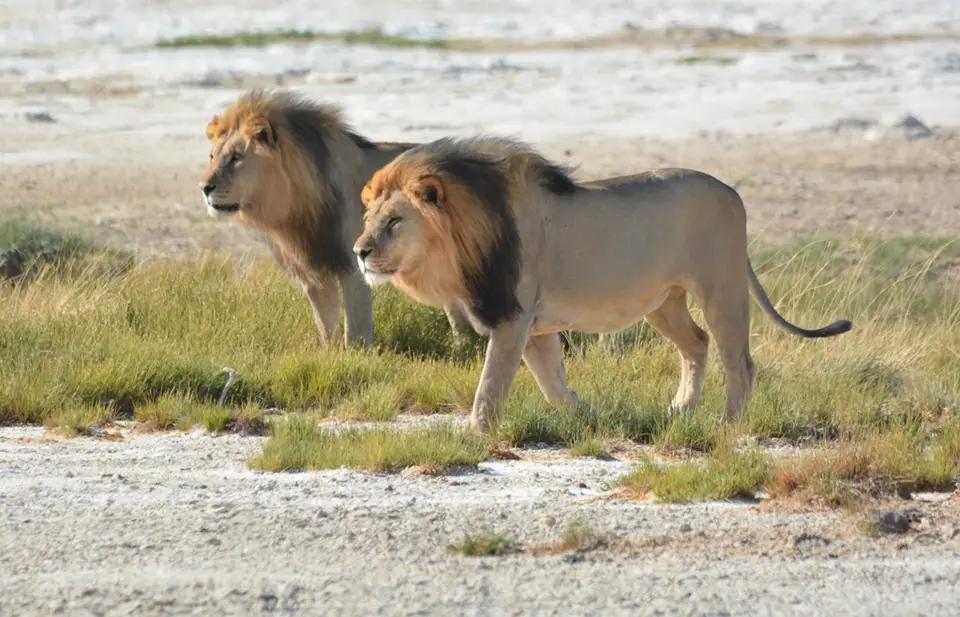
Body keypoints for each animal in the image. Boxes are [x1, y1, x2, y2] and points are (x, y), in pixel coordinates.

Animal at [198, 89, 472, 347]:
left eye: (236, 158)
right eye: (212, 157)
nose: (204, 188)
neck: (295, 208)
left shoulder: (355, 265)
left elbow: (356, 328)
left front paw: (359, 356)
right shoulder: (313, 274)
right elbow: (326, 325)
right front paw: (332, 353)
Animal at [353, 136, 852, 432]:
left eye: (394, 222)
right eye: (368, 219)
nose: (359, 251)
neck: (461, 242)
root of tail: (732, 192)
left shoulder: (512, 318)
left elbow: (490, 388)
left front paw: (477, 434)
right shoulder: (533, 327)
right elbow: (552, 384)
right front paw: (586, 412)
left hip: (722, 290)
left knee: (740, 362)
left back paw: (726, 424)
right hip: (664, 303)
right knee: (697, 343)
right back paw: (681, 409)